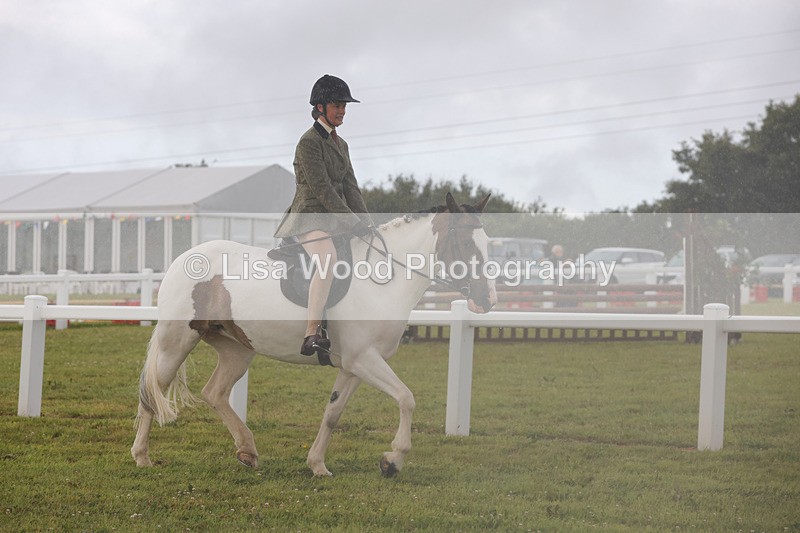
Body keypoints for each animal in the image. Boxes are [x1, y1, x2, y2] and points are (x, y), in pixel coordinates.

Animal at [131, 192, 496, 477]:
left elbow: (333, 414)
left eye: (487, 243)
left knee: (214, 392)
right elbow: (406, 398)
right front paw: (393, 460)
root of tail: (182, 259)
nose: (487, 300)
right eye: (466, 242)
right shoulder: (365, 360)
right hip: (176, 343)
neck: (381, 278)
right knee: (151, 392)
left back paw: (247, 450)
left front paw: (318, 464)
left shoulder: (354, 366)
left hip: (238, 349)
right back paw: (142, 457)